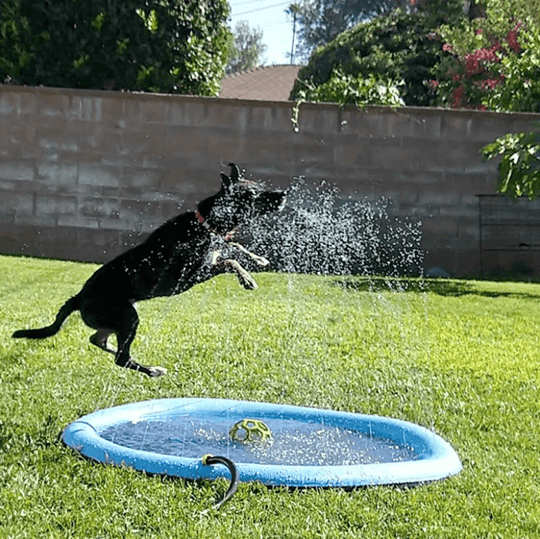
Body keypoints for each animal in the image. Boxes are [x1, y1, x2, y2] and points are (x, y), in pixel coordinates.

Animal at [12, 162, 286, 378]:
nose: (283, 194)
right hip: (128, 316)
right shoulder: (192, 274)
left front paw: (258, 259)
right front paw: (247, 278)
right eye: (253, 194)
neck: (205, 224)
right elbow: (229, 261)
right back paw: (152, 370)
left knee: (98, 340)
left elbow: (234, 247)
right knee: (121, 358)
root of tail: (78, 297)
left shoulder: (215, 252)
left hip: (116, 319)